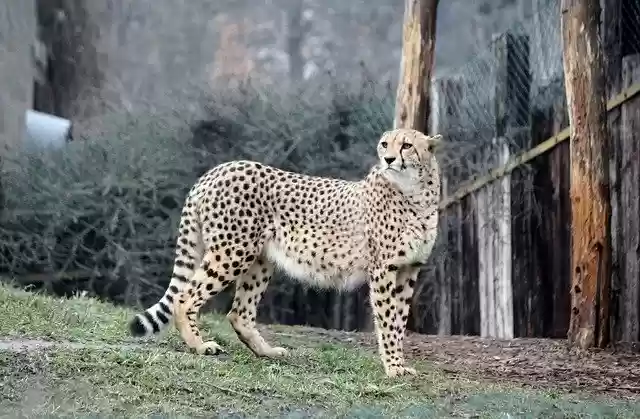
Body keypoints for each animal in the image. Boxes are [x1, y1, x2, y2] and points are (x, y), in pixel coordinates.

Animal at [128, 127, 442, 378]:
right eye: (384, 144)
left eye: (406, 145)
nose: (388, 159)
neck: (416, 195)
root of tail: (218, 169)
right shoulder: (384, 270)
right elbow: (388, 321)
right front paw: (393, 367)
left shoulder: (409, 269)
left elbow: (399, 321)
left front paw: (399, 362)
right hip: (232, 251)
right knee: (184, 297)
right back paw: (200, 345)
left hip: (260, 259)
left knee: (239, 312)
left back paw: (266, 352)